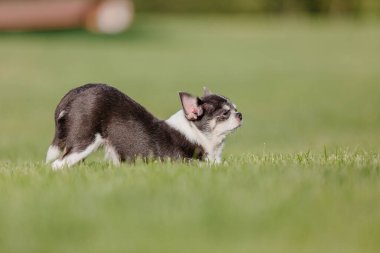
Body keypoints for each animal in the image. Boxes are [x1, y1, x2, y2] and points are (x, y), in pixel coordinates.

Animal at [46, 83, 242, 170]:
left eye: (235, 108)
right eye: (225, 113)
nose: (240, 115)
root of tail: (77, 92)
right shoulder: (183, 162)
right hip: (85, 141)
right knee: (57, 164)